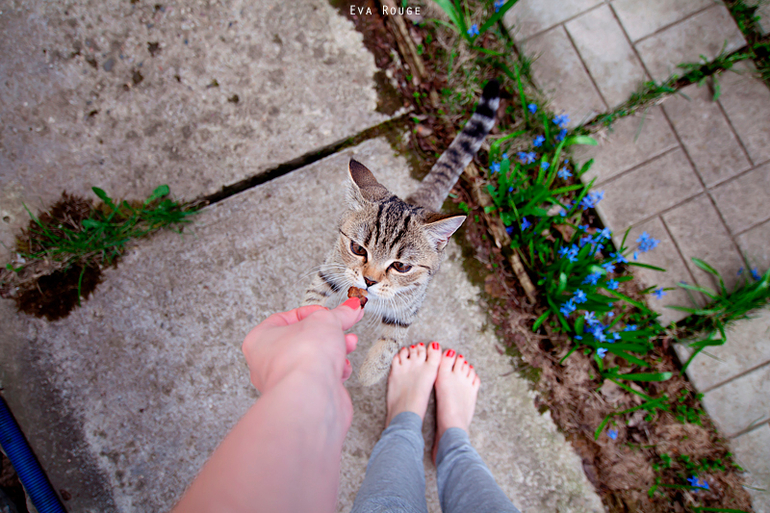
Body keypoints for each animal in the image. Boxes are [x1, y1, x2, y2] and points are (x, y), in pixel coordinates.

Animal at [303, 79, 500, 386]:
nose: (369, 281)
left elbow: (391, 343)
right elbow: (313, 297)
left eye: (401, 267)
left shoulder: (408, 310)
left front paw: (371, 373)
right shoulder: (331, 269)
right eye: (358, 249)